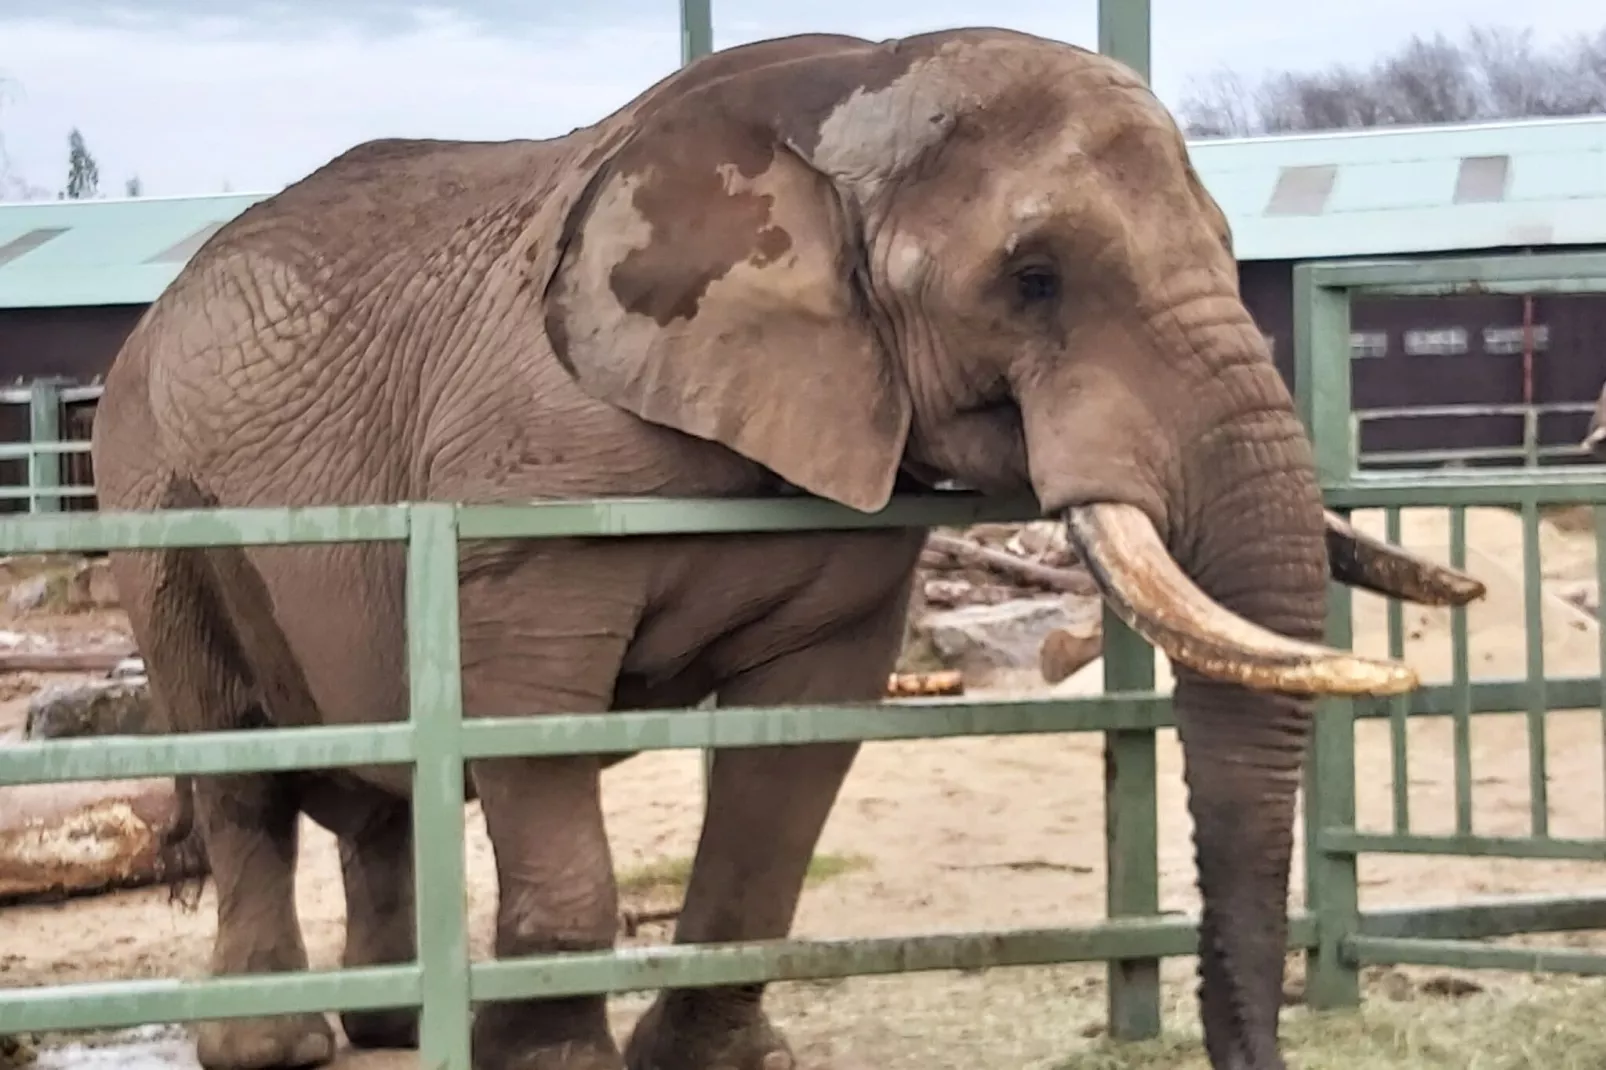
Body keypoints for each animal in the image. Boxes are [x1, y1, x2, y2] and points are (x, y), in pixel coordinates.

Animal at [91, 22, 1477, 1066]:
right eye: (1032, 276)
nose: (1253, 1048)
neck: (844, 98)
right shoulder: (526, 479)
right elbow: (530, 717)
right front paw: (553, 1062)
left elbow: (794, 751)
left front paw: (715, 1059)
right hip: (152, 488)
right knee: (238, 767)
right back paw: (276, 1044)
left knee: (373, 787)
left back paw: (383, 1026)